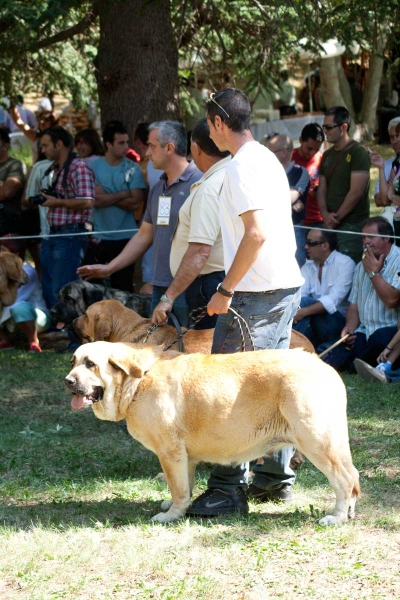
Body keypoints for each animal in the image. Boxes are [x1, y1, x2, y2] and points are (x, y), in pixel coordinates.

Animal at [65, 342, 360, 524]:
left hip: (317, 442)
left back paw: (336, 517)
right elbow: (185, 484)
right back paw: (348, 512)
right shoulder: (184, 457)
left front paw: (172, 515)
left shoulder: (169, 453)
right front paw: (176, 506)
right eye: (73, 361)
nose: (68, 381)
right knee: (354, 476)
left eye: (90, 364)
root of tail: (325, 368)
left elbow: (178, 488)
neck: (137, 381)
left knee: (344, 479)